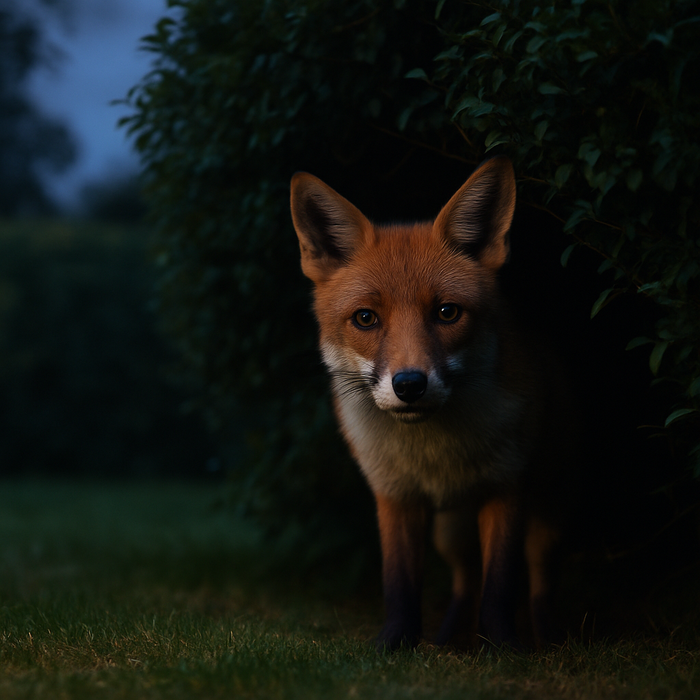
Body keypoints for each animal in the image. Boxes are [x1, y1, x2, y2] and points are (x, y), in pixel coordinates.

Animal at [290, 156, 576, 651]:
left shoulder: (506, 489)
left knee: (537, 581)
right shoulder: (394, 495)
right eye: (366, 318)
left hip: (544, 519)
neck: (434, 454)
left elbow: (501, 586)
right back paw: (445, 640)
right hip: (450, 534)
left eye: (446, 312)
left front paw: (502, 648)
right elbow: (400, 583)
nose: (409, 384)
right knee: (465, 581)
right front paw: (394, 645)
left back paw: (545, 637)